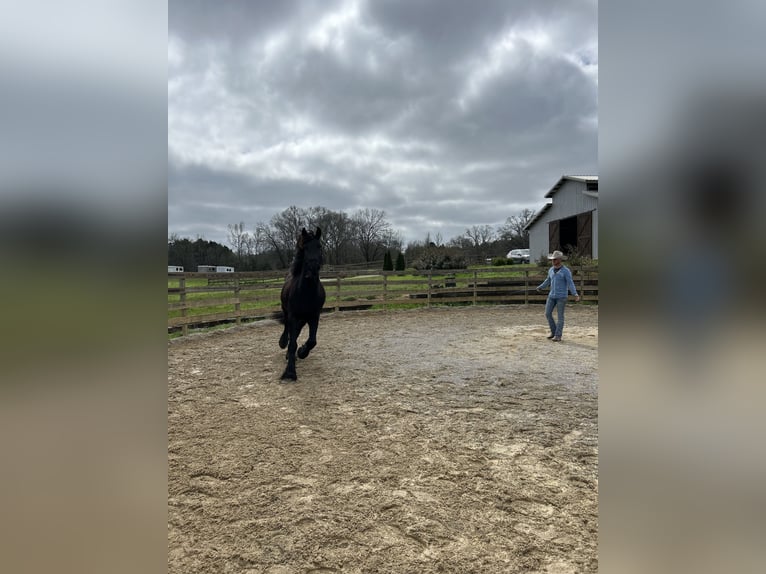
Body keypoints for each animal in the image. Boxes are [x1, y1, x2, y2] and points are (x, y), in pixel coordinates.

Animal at [280, 227, 328, 380]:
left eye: (319, 247)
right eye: (305, 248)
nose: (312, 268)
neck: (306, 292)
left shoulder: (314, 316)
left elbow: (312, 341)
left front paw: (302, 352)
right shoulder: (293, 316)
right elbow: (292, 343)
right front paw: (290, 372)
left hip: (303, 318)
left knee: (296, 333)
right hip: (287, 312)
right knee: (288, 331)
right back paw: (283, 343)